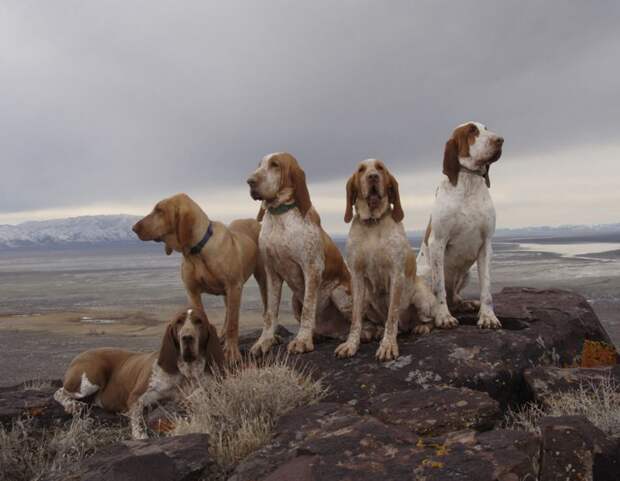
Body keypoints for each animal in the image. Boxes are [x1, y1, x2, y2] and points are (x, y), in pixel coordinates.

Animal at [53, 308, 223, 438]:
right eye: (178, 322)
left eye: (199, 321)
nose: (187, 337)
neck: (186, 373)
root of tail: (79, 355)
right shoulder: (137, 397)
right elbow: (137, 416)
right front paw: (140, 435)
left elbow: (200, 393)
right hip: (92, 377)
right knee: (60, 392)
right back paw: (73, 405)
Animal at [247, 152, 354, 354]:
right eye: (259, 165)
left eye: (275, 165)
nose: (250, 181)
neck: (280, 216)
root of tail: (335, 331)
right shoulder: (271, 272)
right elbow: (270, 313)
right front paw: (265, 341)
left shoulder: (311, 268)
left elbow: (308, 310)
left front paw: (302, 341)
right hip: (294, 300)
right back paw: (317, 335)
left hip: (339, 293)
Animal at [334, 160, 436, 360]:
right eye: (361, 170)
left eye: (380, 168)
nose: (373, 176)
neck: (373, 223)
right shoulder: (356, 277)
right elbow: (356, 320)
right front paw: (351, 344)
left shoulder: (396, 275)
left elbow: (392, 316)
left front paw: (388, 345)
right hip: (367, 301)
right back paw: (375, 332)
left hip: (422, 298)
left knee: (427, 320)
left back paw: (421, 327)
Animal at [416, 122, 504, 328]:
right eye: (472, 130)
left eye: (486, 128)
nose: (500, 140)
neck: (468, 182)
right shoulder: (438, 242)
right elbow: (439, 287)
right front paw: (443, 317)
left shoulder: (486, 245)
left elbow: (486, 288)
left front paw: (488, 316)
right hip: (424, 273)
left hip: (467, 274)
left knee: (455, 298)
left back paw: (467, 303)